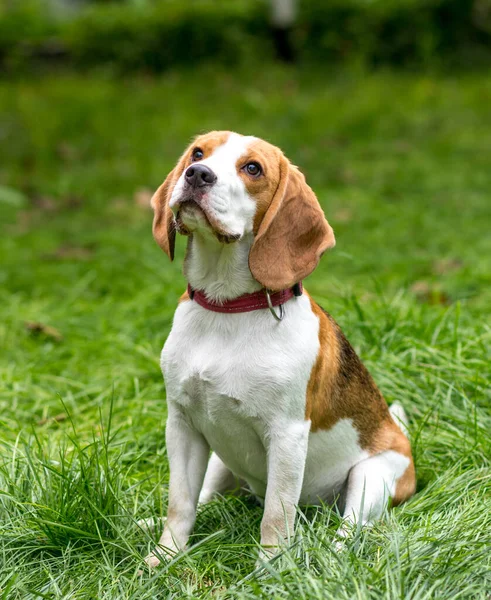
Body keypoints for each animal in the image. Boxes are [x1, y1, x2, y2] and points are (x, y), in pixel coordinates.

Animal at [146, 131, 416, 568]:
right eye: (198, 153)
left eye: (253, 168)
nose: (197, 174)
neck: (227, 308)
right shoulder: (182, 425)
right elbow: (180, 503)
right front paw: (164, 556)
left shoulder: (286, 436)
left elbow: (275, 515)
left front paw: (272, 570)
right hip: (219, 460)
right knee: (205, 500)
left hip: (371, 478)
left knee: (350, 527)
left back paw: (332, 556)